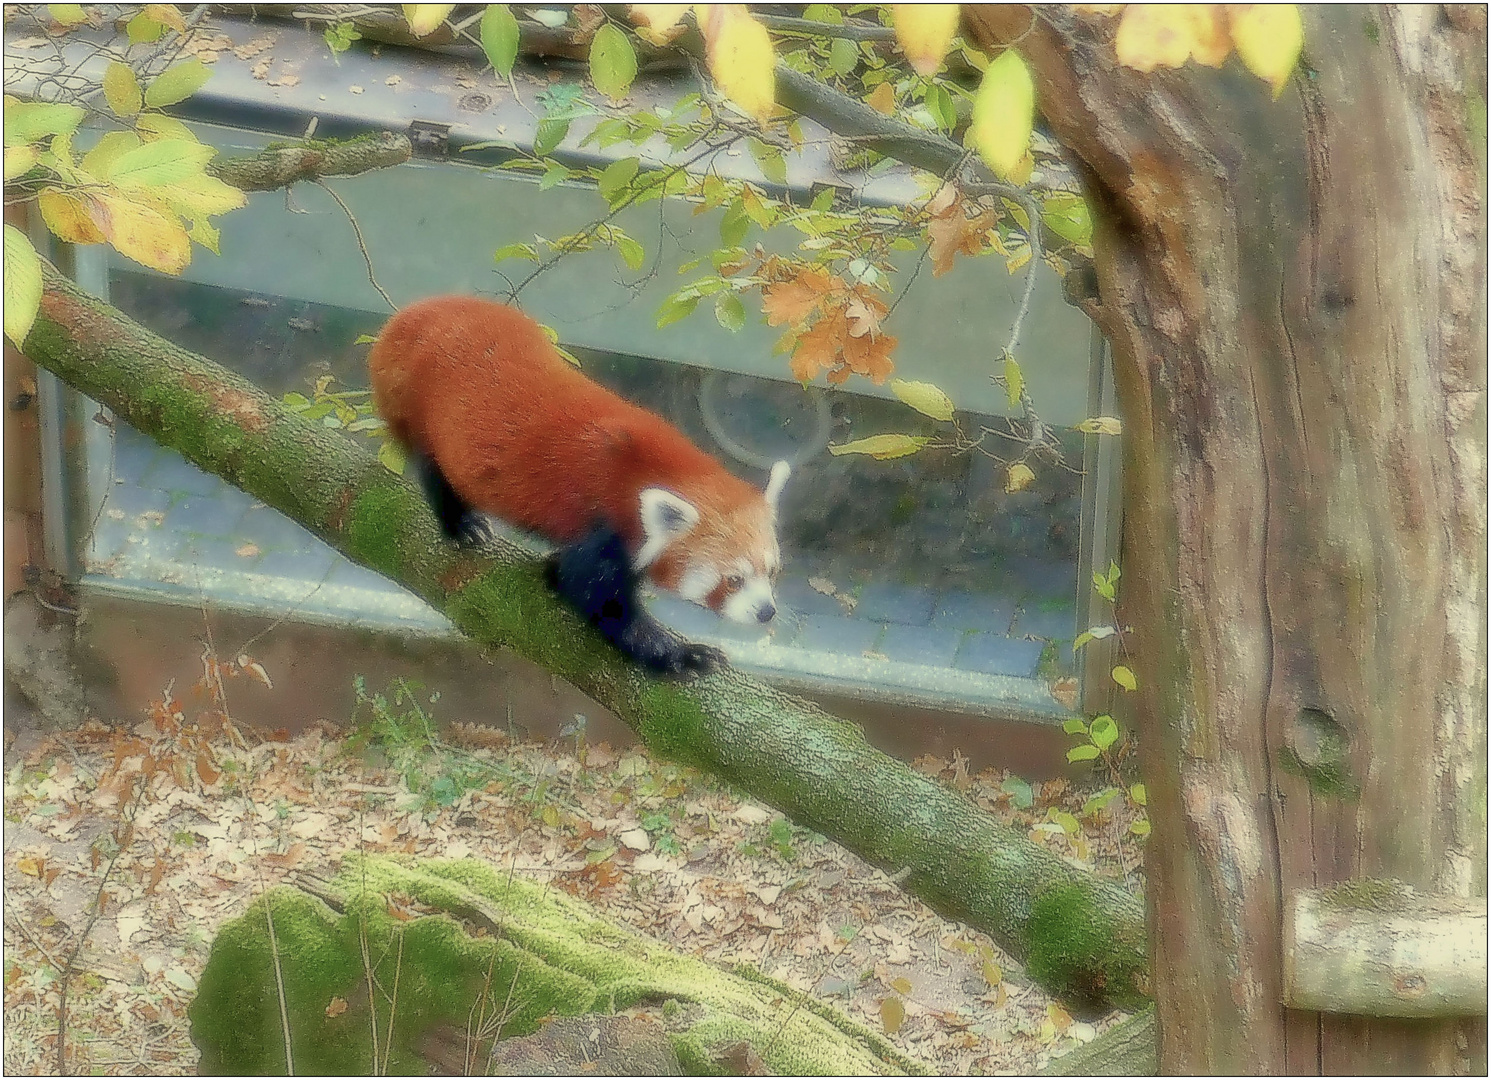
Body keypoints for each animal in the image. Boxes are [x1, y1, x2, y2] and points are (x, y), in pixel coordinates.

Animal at [369, 295, 793, 674]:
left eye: (772, 571)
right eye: (733, 579)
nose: (766, 610)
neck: (649, 472)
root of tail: (415, 314)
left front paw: (553, 571)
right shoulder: (603, 519)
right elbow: (598, 595)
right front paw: (682, 655)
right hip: (421, 407)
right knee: (434, 469)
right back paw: (462, 524)